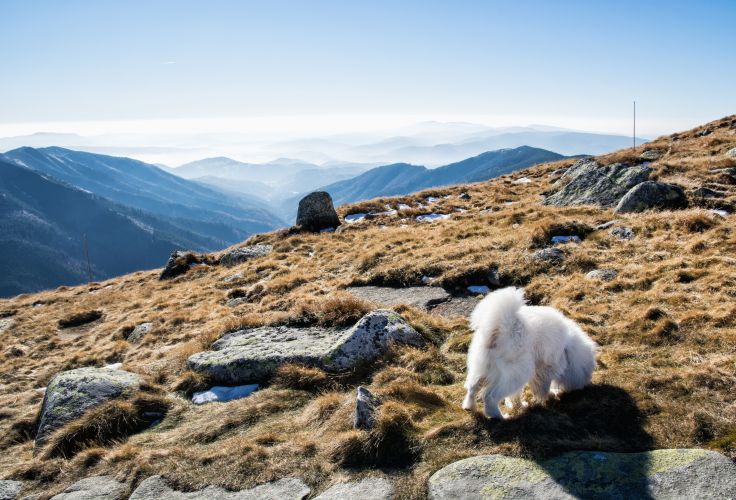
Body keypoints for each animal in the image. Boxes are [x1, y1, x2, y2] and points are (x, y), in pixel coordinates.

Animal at [466, 286, 600, 418]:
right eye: (587, 370)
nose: (584, 386)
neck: (567, 350)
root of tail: (503, 326)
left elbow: (517, 394)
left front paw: (519, 405)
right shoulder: (546, 369)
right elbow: (543, 386)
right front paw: (550, 395)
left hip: (481, 368)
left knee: (472, 388)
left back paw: (469, 407)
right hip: (518, 373)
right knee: (490, 396)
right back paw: (499, 416)